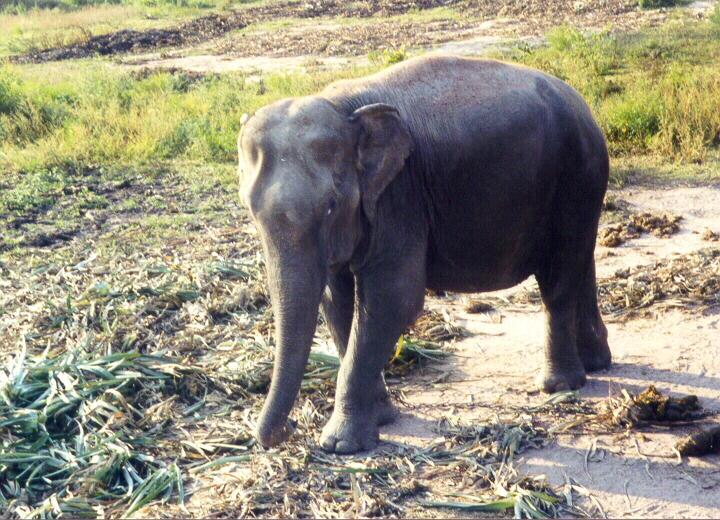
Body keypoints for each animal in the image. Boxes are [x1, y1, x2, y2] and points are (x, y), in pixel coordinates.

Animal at [239, 54, 612, 456]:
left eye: (330, 206)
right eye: (251, 210)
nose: (286, 432)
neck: (343, 108)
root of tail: (582, 104)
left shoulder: (399, 196)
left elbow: (393, 298)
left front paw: (341, 445)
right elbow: (334, 301)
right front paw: (381, 418)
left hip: (575, 177)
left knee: (559, 273)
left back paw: (560, 386)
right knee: (581, 260)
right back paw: (597, 363)